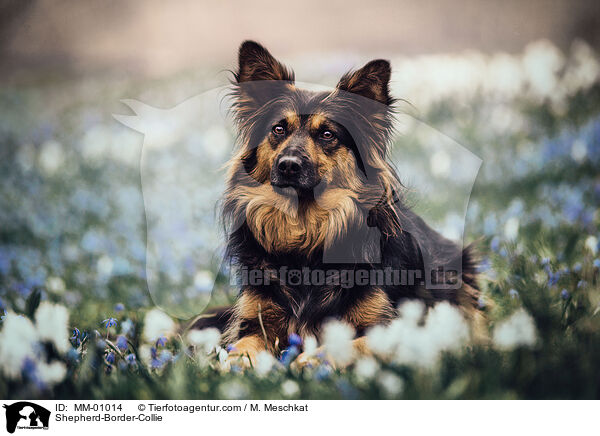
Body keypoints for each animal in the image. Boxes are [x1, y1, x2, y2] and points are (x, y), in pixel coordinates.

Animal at [190, 41, 480, 368]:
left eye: (327, 134)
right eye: (279, 129)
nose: (288, 165)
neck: (305, 235)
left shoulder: (393, 327)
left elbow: (350, 345)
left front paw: (310, 361)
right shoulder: (257, 320)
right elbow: (240, 349)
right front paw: (236, 366)